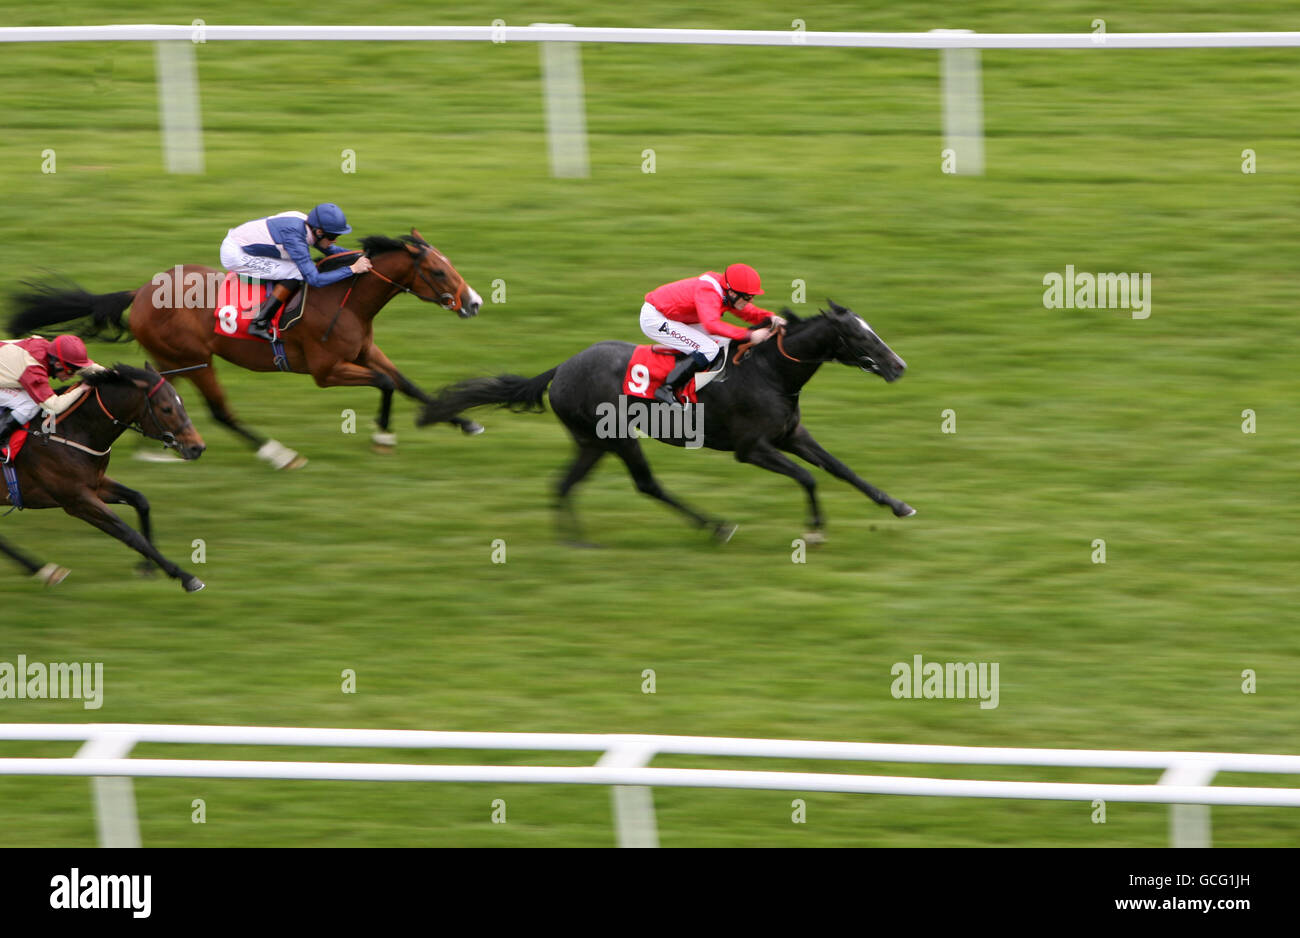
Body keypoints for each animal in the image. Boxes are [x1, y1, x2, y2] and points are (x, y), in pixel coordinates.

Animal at [1, 361, 208, 587]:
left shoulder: (95, 484)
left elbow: (140, 500)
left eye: (182, 403)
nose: (197, 447)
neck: (69, 431)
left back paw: (42, 570)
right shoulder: (77, 501)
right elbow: (129, 534)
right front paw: (185, 576)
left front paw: (147, 566)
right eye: (166, 409)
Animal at [7, 229, 486, 467]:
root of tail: (139, 292)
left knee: (159, 390)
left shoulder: (365, 352)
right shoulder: (327, 371)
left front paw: (463, 421)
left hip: (170, 361)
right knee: (221, 412)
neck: (344, 298)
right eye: (438, 272)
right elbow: (386, 383)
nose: (475, 302)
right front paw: (384, 436)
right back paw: (277, 454)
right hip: (195, 360)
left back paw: (158, 443)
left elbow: (405, 382)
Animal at [421, 296, 920, 537]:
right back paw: (716, 526)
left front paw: (899, 506)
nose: (899, 366)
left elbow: (841, 469)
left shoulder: (791, 434)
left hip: (592, 442)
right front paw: (815, 530)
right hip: (617, 438)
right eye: (861, 336)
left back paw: (574, 540)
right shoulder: (751, 449)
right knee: (647, 485)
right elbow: (809, 477)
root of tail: (561, 368)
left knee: (564, 484)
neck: (769, 372)